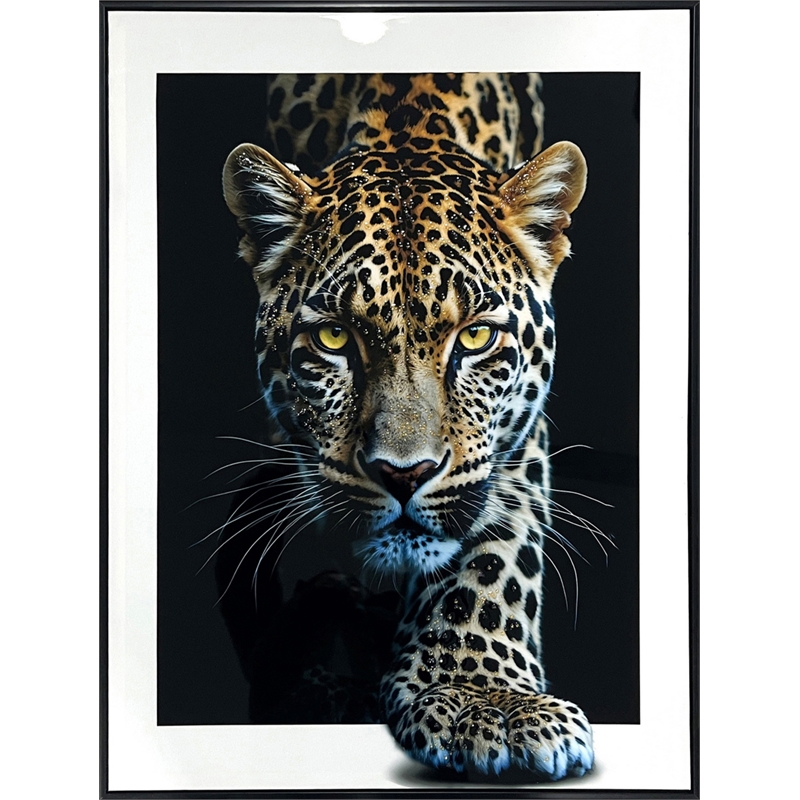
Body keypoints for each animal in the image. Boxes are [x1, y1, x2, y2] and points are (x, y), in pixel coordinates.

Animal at [221, 73, 591, 780]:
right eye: (334, 338)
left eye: (474, 337)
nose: (403, 474)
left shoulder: (511, 439)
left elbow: (494, 554)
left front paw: (484, 697)